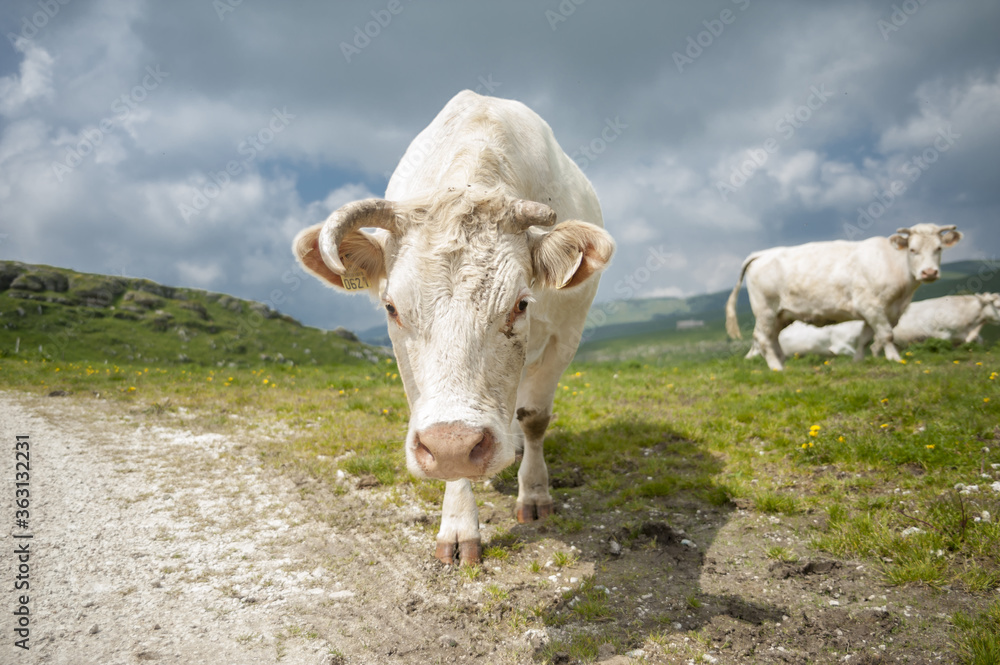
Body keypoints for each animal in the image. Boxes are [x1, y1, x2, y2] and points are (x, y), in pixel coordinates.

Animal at [292, 91, 612, 564]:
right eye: (391, 307)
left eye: (521, 304)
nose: (456, 441)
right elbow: (450, 461)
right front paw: (459, 525)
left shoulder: (564, 334)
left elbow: (535, 418)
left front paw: (535, 493)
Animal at [728, 222, 960, 368]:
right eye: (912, 250)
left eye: (939, 248)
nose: (929, 272)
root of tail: (762, 254)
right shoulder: (871, 306)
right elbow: (886, 335)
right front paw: (895, 359)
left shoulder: (886, 311)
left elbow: (866, 339)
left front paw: (858, 361)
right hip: (765, 309)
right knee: (762, 338)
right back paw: (776, 367)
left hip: (781, 314)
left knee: (773, 337)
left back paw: (782, 363)